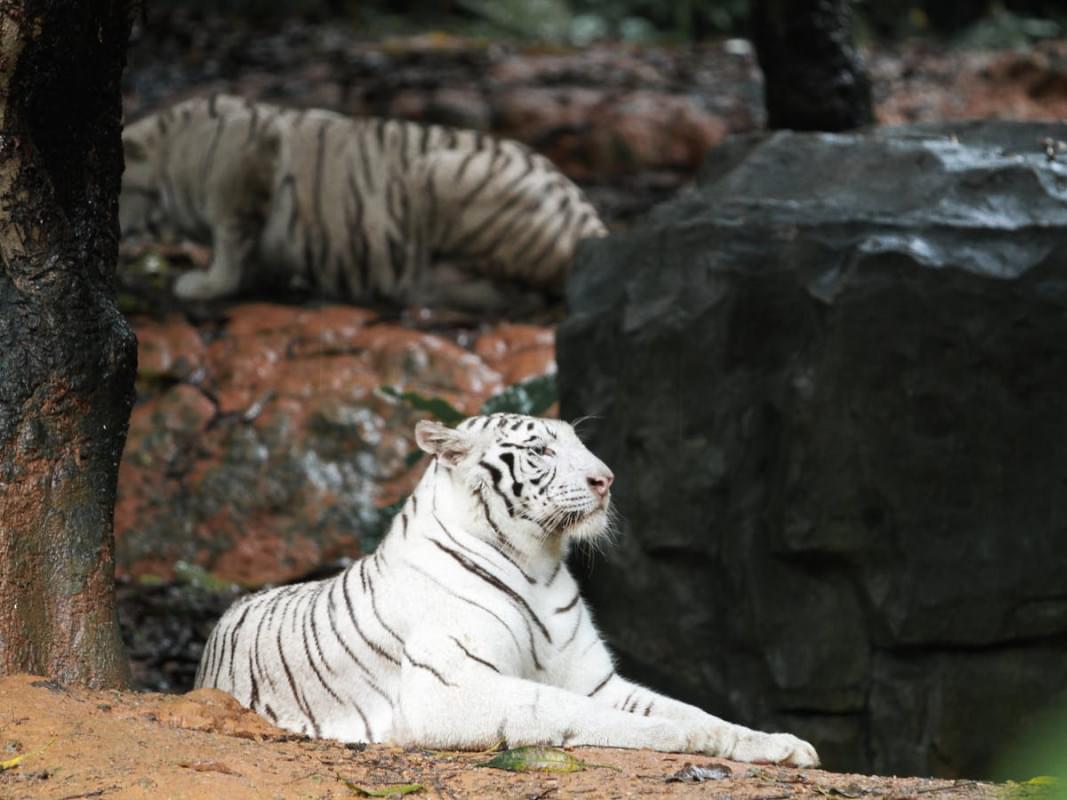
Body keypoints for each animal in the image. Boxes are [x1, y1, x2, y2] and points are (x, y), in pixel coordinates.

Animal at [120, 94, 606, 313]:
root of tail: (589, 219)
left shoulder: (243, 171)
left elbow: (230, 244)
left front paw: (203, 284)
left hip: (437, 173)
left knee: (524, 294)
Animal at [196, 413, 819, 772]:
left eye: (579, 444)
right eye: (541, 451)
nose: (606, 479)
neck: (538, 564)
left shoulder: (596, 678)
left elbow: (693, 710)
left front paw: (778, 743)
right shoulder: (445, 688)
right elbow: (573, 711)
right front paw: (687, 737)